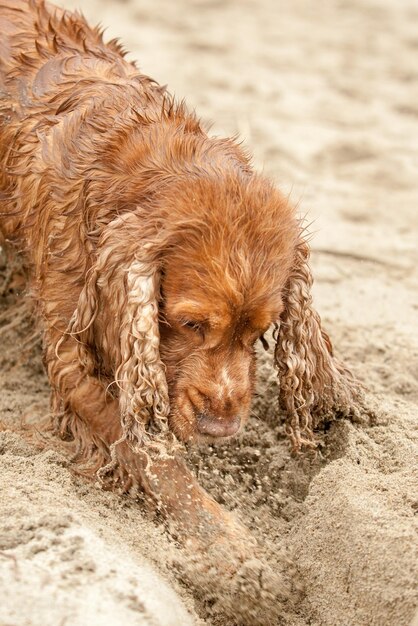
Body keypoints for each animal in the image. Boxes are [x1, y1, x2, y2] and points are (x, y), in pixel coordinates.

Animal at [0, 0, 360, 556]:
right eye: (190, 324)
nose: (220, 427)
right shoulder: (70, 349)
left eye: (261, 333)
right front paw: (227, 550)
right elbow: (149, 452)